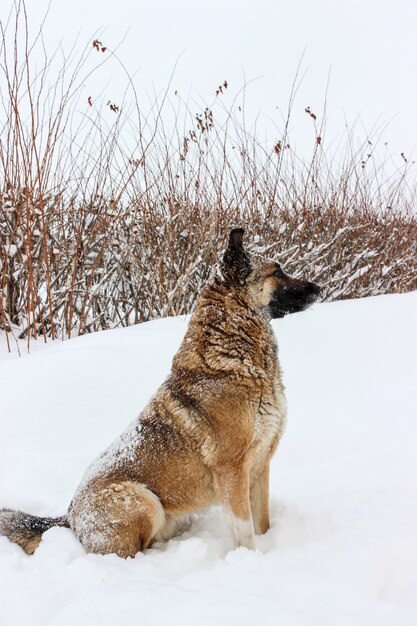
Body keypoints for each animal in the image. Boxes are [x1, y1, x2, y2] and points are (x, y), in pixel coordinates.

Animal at [0, 229, 320, 556]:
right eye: (277, 272)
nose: (318, 289)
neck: (231, 357)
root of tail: (68, 518)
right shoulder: (232, 471)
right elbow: (245, 532)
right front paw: (249, 560)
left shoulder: (260, 466)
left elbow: (262, 523)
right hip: (142, 501)